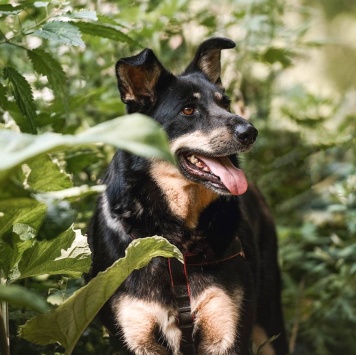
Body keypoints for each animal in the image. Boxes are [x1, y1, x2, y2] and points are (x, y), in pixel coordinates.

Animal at [87, 37, 290, 354]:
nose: (250, 132)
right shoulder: (136, 337)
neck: (177, 242)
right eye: (188, 111)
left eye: (224, 102)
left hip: (269, 316)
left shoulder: (227, 333)